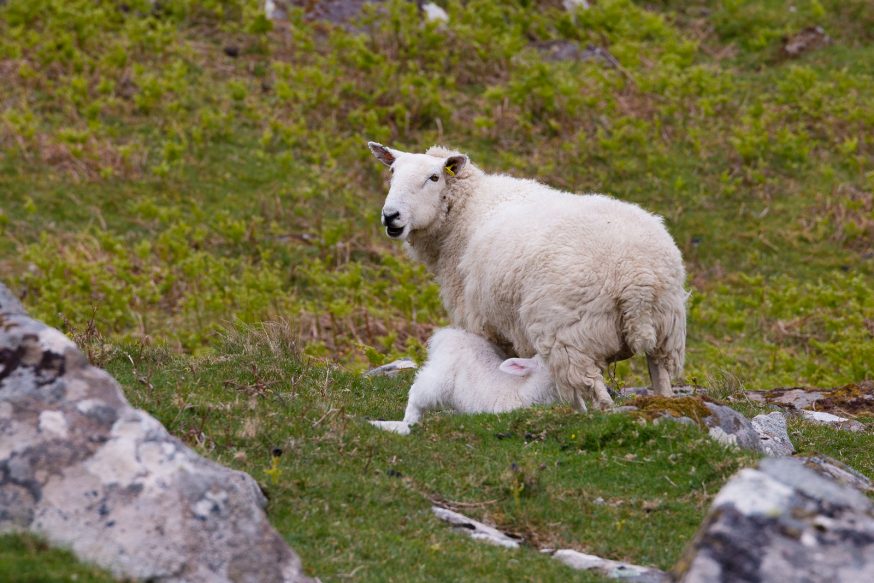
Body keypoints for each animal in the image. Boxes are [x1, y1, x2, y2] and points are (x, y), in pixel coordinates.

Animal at [364, 141, 684, 410]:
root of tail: (637, 277)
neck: (466, 210)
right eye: (392, 171)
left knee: (595, 394)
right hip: (667, 328)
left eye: (434, 177)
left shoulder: (483, 322)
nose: (391, 216)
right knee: (661, 377)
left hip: (568, 336)